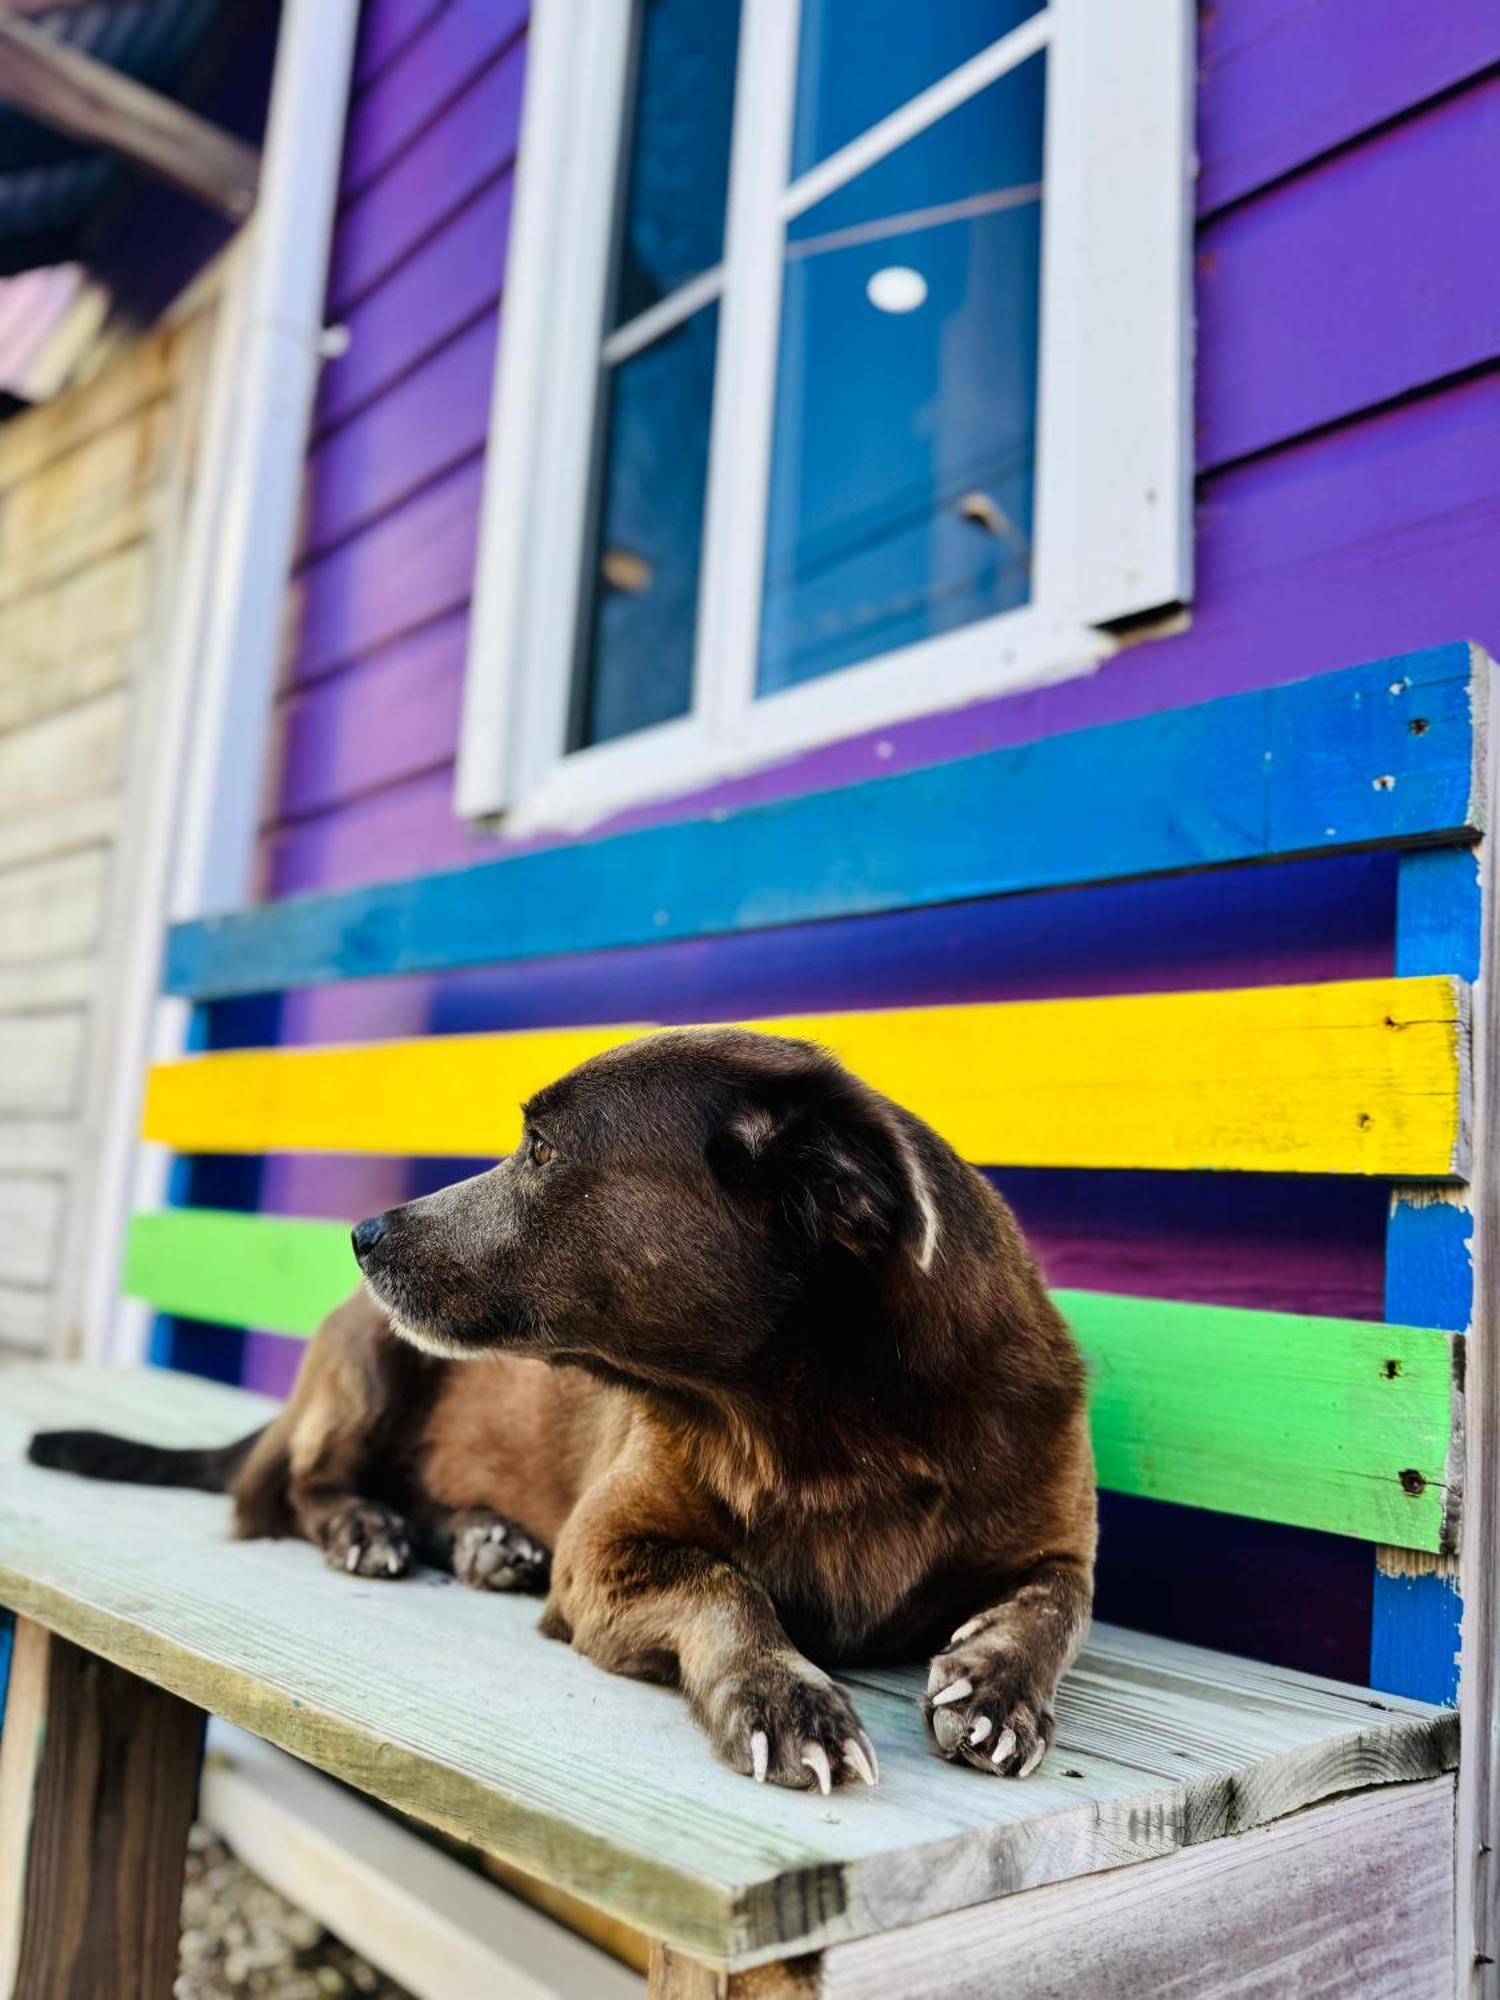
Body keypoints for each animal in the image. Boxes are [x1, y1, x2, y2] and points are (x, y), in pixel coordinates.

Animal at [29, 1032, 1096, 1800]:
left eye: (541, 1149)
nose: (360, 1234)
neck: (822, 1424)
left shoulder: (1058, 1551)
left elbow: (1054, 1609)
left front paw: (998, 1688)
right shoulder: (601, 1554)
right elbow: (728, 1587)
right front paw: (786, 1697)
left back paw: (487, 1541)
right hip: (369, 1358)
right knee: (290, 1487)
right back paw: (365, 1526)